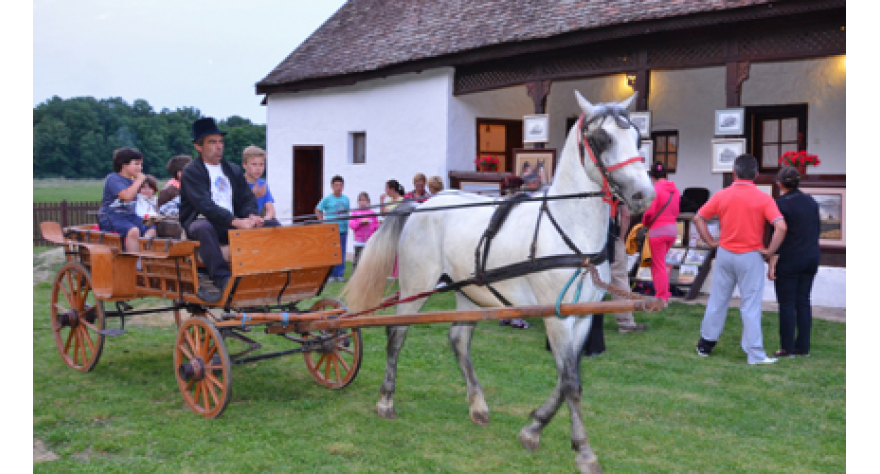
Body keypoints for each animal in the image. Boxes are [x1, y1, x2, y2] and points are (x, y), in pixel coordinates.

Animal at [342, 92, 652, 474]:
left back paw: (477, 405)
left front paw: (533, 428)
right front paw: (583, 450)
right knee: (396, 334)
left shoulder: (581, 317)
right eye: (601, 139)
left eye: (637, 137)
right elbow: (571, 382)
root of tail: (423, 204)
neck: (569, 229)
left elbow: (567, 379)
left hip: (469, 292)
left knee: (458, 340)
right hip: (417, 285)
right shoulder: (557, 318)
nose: (643, 195)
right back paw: (386, 400)